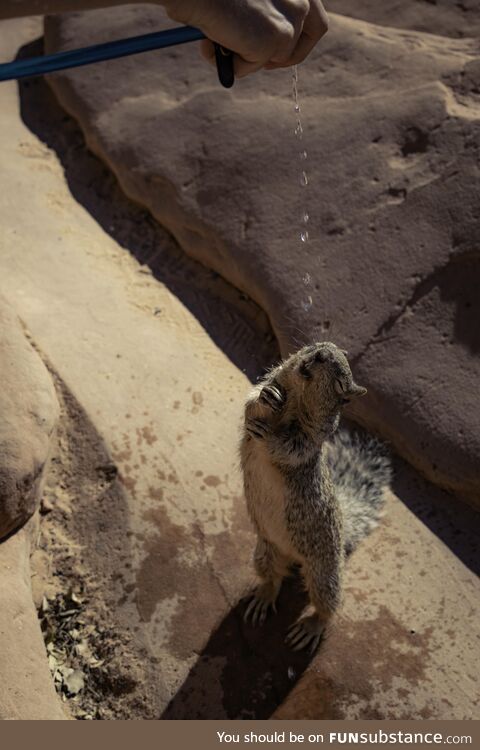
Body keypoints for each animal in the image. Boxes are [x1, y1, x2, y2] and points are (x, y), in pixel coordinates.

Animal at [240, 340, 390, 652]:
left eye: (341, 382)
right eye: (317, 345)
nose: (319, 354)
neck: (295, 398)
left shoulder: (309, 442)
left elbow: (290, 447)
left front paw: (269, 436)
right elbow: (250, 406)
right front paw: (266, 395)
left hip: (324, 574)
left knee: (327, 606)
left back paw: (311, 627)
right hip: (265, 552)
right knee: (273, 580)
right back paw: (263, 597)